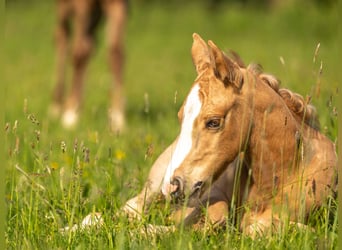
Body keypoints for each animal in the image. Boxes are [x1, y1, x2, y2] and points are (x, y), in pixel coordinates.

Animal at [50, 0, 126, 132]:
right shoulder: (81, 4)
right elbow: (79, 52)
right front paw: (70, 115)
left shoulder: (119, 3)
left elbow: (116, 52)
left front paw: (117, 119)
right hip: (63, 8)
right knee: (62, 35)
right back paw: (57, 106)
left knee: (90, 42)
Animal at [122, 32, 336, 234]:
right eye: (181, 117)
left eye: (214, 122)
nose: (172, 186)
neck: (289, 170)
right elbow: (216, 219)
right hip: (154, 185)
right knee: (131, 208)